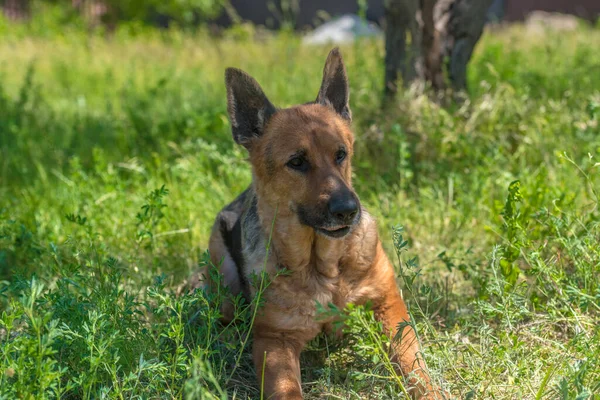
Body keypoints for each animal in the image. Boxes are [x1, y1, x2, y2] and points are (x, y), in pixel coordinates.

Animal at [209, 48, 442, 398]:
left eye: (341, 154)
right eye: (297, 162)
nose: (348, 210)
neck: (323, 267)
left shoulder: (389, 307)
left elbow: (415, 368)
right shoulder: (274, 340)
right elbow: (287, 389)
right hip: (223, 279)